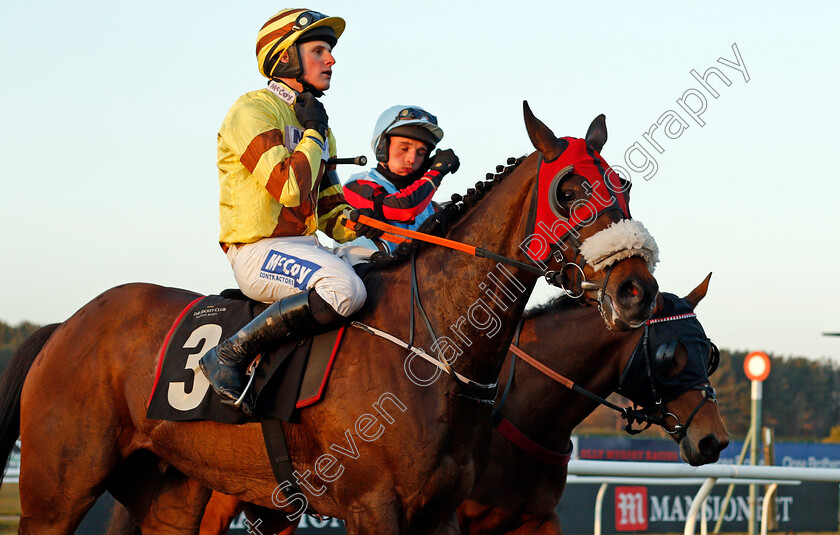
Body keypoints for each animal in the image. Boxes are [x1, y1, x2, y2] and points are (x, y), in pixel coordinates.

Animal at [0, 104, 660, 535]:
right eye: (569, 190)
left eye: (623, 185)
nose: (637, 292)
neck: (435, 349)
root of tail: (65, 326)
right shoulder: (375, 507)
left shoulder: (441, 513)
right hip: (53, 496)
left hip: (170, 491)